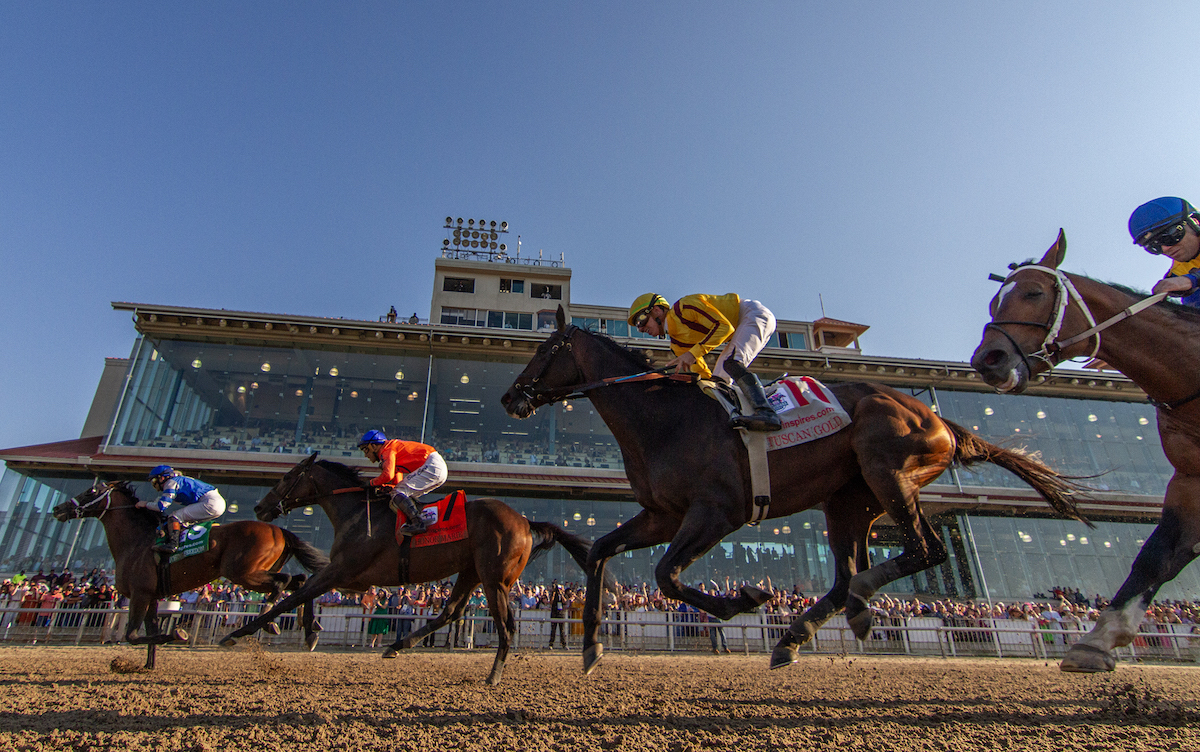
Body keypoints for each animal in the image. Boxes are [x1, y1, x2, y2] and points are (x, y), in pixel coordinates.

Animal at [52, 479, 328, 666]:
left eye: (91, 491)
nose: (58, 509)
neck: (137, 542)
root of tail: (279, 530)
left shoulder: (140, 594)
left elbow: (133, 634)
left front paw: (177, 633)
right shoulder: (151, 596)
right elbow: (149, 633)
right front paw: (148, 666)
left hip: (242, 573)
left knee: (284, 581)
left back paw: (268, 621)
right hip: (260, 570)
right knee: (301, 581)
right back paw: (309, 629)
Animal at [219, 453, 595, 690]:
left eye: (286, 476)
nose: (260, 507)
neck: (357, 512)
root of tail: (525, 521)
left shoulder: (344, 572)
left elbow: (294, 596)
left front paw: (238, 634)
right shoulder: (346, 578)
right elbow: (301, 590)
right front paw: (310, 631)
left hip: (494, 579)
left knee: (505, 625)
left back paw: (494, 675)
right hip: (470, 572)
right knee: (450, 611)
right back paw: (397, 645)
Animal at [501, 307, 1094, 676]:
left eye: (547, 348)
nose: (510, 397)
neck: (664, 418)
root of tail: (936, 417)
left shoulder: (717, 512)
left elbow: (667, 575)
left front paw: (745, 599)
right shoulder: (662, 515)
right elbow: (600, 551)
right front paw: (592, 645)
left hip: (888, 474)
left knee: (923, 549)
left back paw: (844, 612)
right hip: (850, 500)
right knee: (849, 573)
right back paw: (798, 635)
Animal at [969, 227, 1200, 671]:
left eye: (1034, 292)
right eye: (993, 302)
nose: (987, 360)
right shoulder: (1189, 477)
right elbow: (1158, 554)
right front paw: (1097, 640)